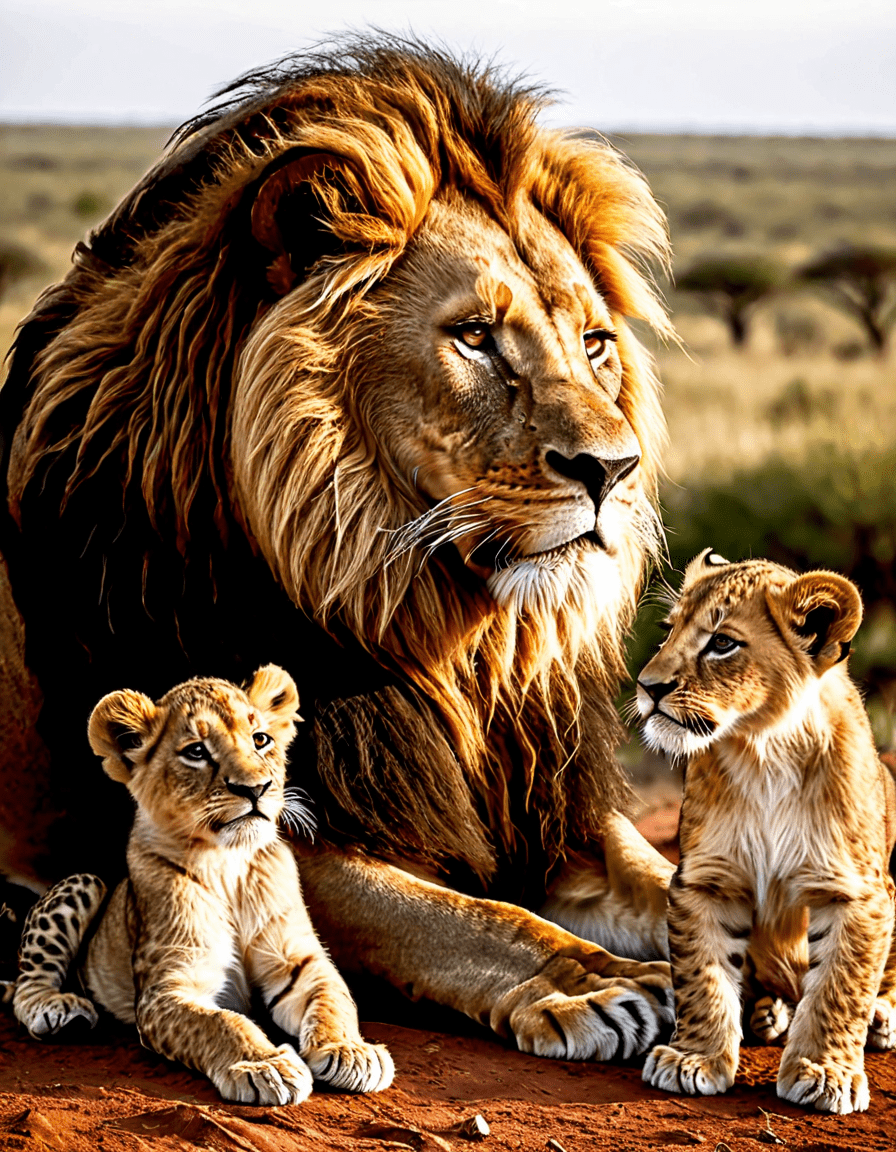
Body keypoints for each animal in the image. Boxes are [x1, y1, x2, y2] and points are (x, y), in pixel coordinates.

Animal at [0, 37, 676, 1060]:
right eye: (475, 337)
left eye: (595, 343)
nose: (614, 467)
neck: (439, 630)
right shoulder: (248, 821)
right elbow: (475, 920)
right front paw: (594, 985)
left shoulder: (545, 802)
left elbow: (671, 881)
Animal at [13, 666, 393, 1104]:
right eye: (196, 751)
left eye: (260, 739)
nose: (255, 788)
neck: (229, 867)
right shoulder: (167, 989)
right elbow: (221, 1024)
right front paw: (265, 1066)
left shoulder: (299, 961)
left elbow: (335, 999)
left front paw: (351, 1051)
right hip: (85, 881)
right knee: (27, 982)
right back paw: (59, 1009)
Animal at [637, 550, 896, 1114]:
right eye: (669, 631)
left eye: (722, 643)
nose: (648, 687)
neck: (764, 751)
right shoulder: (704, 880)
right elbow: (701, 974)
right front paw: (693, 1059)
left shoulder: (859, 893)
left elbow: (841, 984)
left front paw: (826, 1073)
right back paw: (765, 1014)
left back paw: (881, 1021)